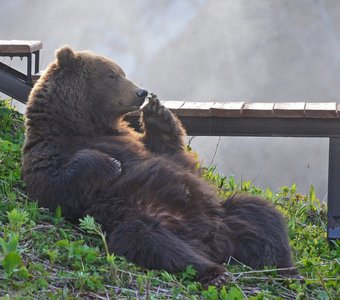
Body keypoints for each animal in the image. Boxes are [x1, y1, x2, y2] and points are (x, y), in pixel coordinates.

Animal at [21, 45, 300, 288]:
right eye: (111, 75)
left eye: (122, 72)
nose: (141, 92)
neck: (84, 123)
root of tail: (212, 242)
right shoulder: (48, 148)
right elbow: (54, 187)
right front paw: (111, 163)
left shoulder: (138, 143)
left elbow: (171, 153)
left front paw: (158, 112)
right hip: (143, 219)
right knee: (150, 241)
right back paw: (215, 273)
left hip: (225, 216)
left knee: (261, 214)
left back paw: (288, 270)